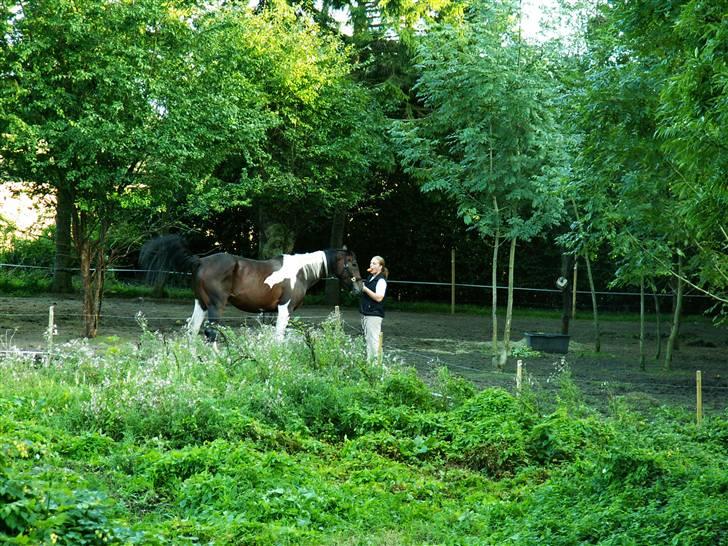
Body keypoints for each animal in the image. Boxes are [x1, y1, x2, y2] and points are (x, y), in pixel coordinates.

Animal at [139, 235, 362, 340]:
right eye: (353, 263)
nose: (359, 288)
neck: (300, 272)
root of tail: (200, 261)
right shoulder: (285, 309)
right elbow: (279, 336)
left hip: (201, 304)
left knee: (192, 330)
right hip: (215, 306)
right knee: (211, 332)